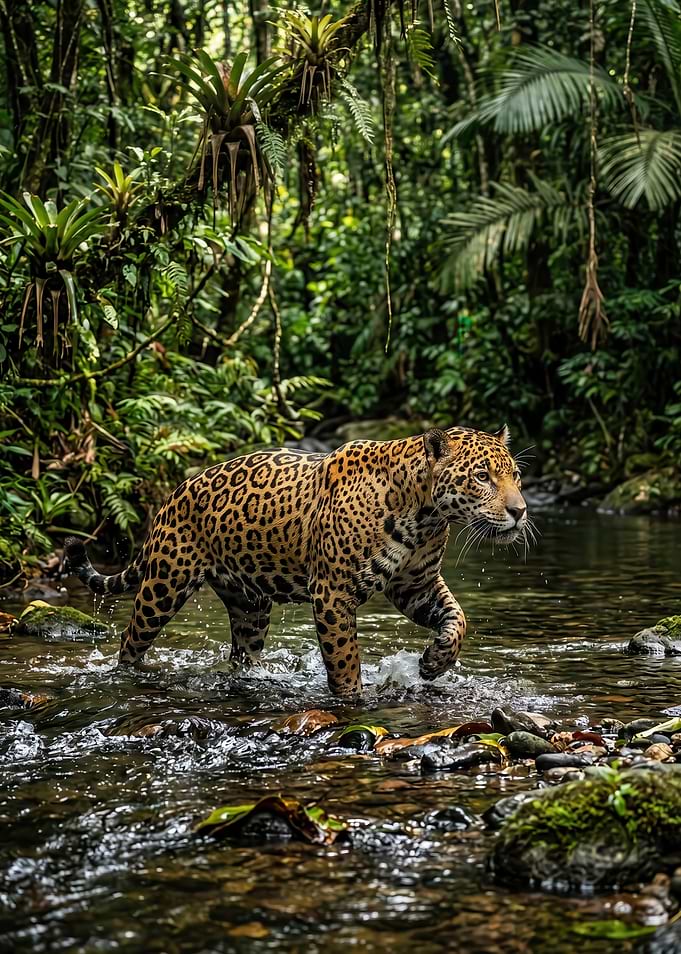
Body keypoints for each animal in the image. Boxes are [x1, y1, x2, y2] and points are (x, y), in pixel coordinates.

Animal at [64, 424, 529, 697]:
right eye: (482, 477)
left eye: (516, 476)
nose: (520, 510)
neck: (424, 514)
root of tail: (171, 496)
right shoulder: (333, 593)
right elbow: (344, 659)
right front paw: (354, 701)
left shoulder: (415, 585)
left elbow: (458, 618)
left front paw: (434, 663)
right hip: (163, 586)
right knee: (130, 639)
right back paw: (125, 676)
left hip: (250, 606)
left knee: (243, 653)